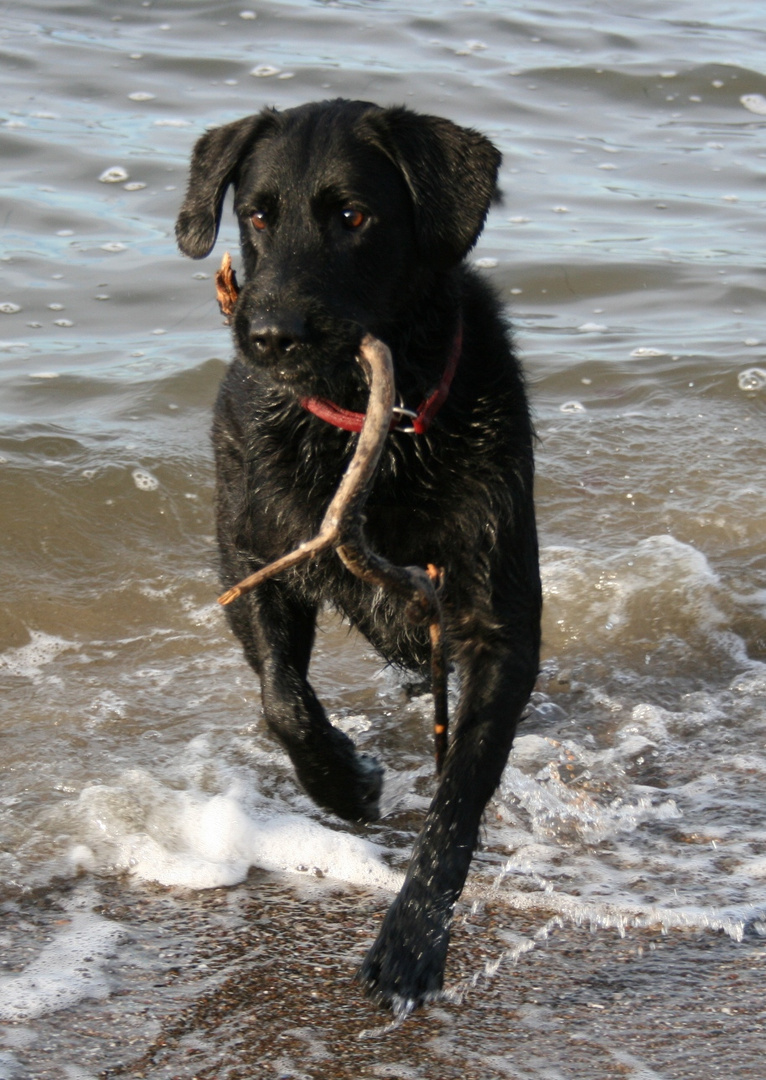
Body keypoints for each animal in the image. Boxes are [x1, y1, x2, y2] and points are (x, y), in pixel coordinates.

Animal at [176, 101, 540, 1010]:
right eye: (257, 214)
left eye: (352, 216)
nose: (270, 335)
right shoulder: (251, 558)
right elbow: (283, 697)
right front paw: (345, 780)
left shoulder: (498, 622)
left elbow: (458, 798)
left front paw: (412, 941)